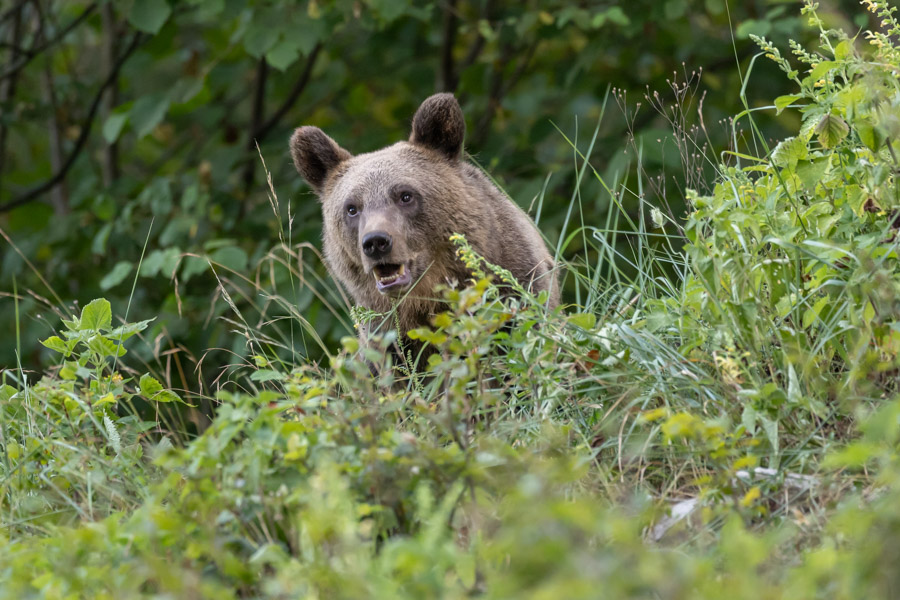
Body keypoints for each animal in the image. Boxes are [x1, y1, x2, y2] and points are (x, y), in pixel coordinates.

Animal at [290, 94, 556, 356]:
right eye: (352, 208)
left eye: (405, 195)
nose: (375, 242)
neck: (424, 300)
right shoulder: (386, 336)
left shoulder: (516, 284)